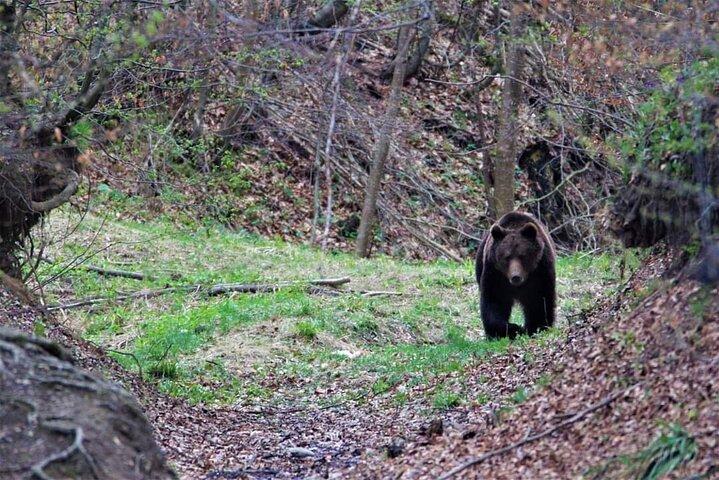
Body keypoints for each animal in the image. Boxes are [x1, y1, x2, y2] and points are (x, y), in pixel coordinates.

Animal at [475, 211, 556, 339]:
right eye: (507, 257)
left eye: (522, 256)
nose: (516, 277)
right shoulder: (495, 273)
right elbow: (494, 301)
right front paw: (511, 329)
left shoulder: (540, 270)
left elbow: (539, 300)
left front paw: (536, 327)